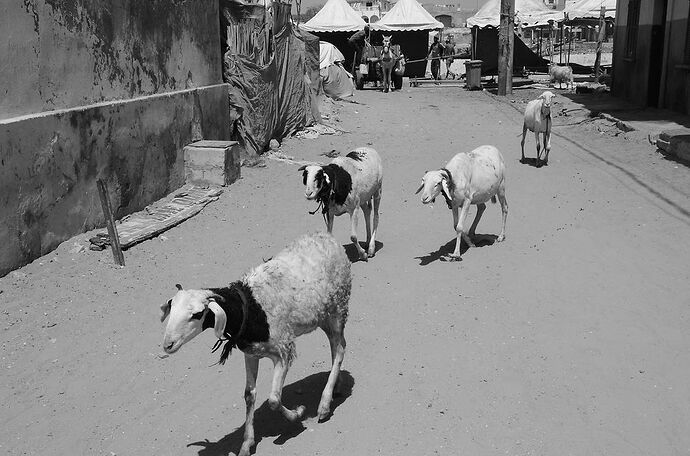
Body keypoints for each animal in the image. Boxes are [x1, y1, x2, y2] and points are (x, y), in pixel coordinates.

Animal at [160, 232, 350, 456]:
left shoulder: (284, 350)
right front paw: (246, 443)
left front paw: (298, 414)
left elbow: (274, 399)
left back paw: (324, 404)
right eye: (171, 309)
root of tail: (326, 236)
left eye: (197, 314)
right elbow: (249, 395)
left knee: (340, 348)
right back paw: (336, 386)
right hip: (323, 316)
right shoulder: (251, 353)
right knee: (335, 347)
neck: (250, 307)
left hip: (338, 308)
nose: (167, 345)